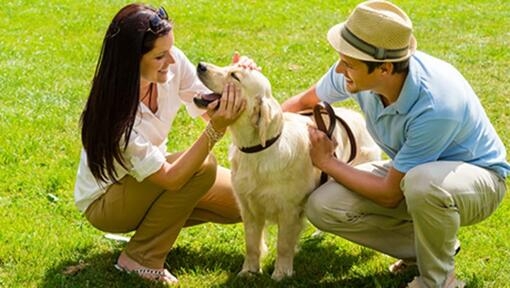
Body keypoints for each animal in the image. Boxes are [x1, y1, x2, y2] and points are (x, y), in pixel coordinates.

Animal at [193, 62, 380, 280]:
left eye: (235, 76)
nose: (201, 65)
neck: (259, 150)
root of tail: (357, 116)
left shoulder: (289, 210)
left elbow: (283, 245)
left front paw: (281, 273)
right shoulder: (248, 208)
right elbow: (251, 244)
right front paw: (249, 271)